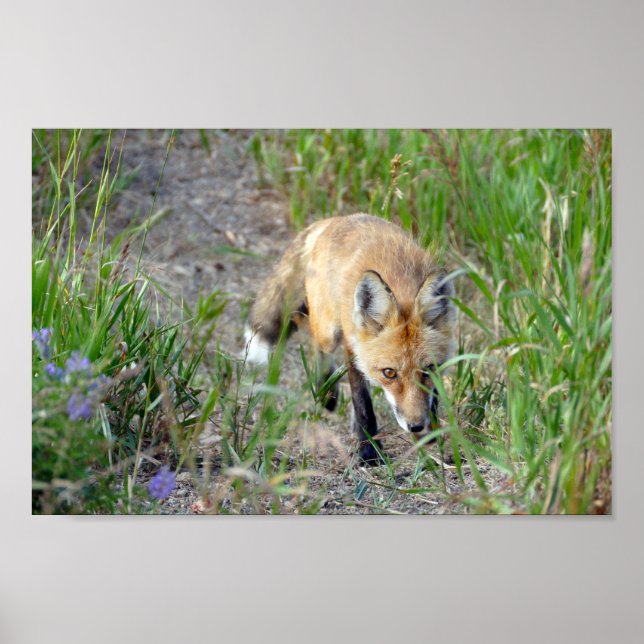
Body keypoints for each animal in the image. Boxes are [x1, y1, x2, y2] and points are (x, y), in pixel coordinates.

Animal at [244, 214, 456, 465]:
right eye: (389, 373)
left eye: (429, 368)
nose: (415, 426)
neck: (400, 283)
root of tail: (333, 220)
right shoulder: (352, 346)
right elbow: (362, 403)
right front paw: (369, 450)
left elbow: (432, 397)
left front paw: (431, 434)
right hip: (329, 330)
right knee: (311, 336)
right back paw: (326, 392)